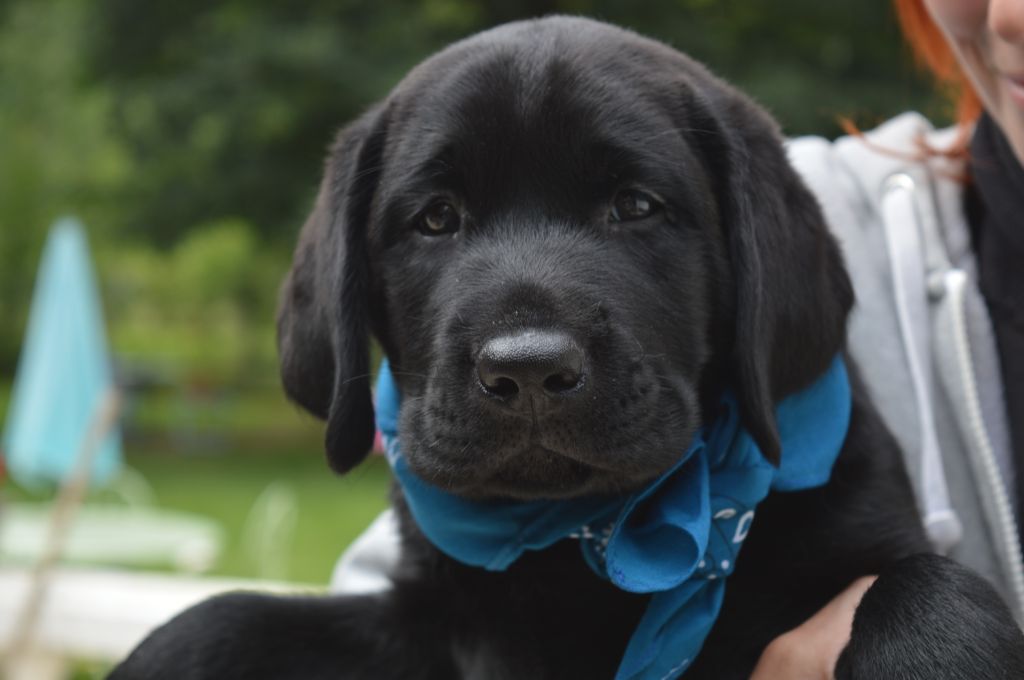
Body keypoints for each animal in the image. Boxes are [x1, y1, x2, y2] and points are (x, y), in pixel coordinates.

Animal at [112, 15, 1024, 680]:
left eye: (637, 206)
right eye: (436, 218)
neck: (596, 537)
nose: (526, 369)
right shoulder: (428, 624)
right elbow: (218, 619)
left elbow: (928, 593)